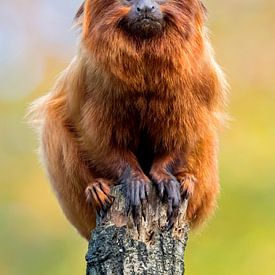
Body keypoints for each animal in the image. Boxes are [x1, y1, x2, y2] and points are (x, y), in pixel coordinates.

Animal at [28, 0, 229, 240]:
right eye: (128, 1)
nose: (146, 7)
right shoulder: (88, 74)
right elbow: (95, 138)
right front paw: (134, 179)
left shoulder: (203, 75)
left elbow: (189, 133)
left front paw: (164, 175)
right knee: (53, 123)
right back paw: (96, 189)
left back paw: (186, 181)